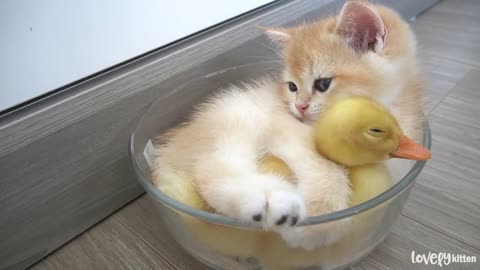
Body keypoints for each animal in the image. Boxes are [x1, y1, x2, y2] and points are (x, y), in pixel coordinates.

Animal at [154, 0, 424, 249]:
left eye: (323, 83)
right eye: (293, 86)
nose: (299, 106)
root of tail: (167, 149)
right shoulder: (284, 123)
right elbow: (326, 166)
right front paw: (320, 218)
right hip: (236, 118)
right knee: (212, 168)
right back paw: (271, 201)